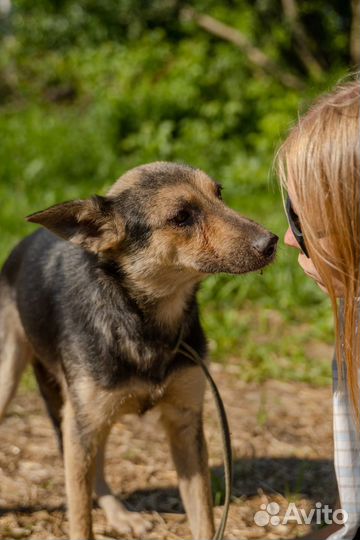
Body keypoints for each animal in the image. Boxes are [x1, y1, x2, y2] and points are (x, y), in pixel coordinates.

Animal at [0, 162, 278, 536]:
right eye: (181, 217)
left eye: (219, 194)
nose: (271, 241)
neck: (146, 326)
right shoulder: (82, 423)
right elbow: (80, 520)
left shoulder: (185, 423)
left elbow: (203, 518)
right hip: (17, 382)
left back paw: (119, 514)